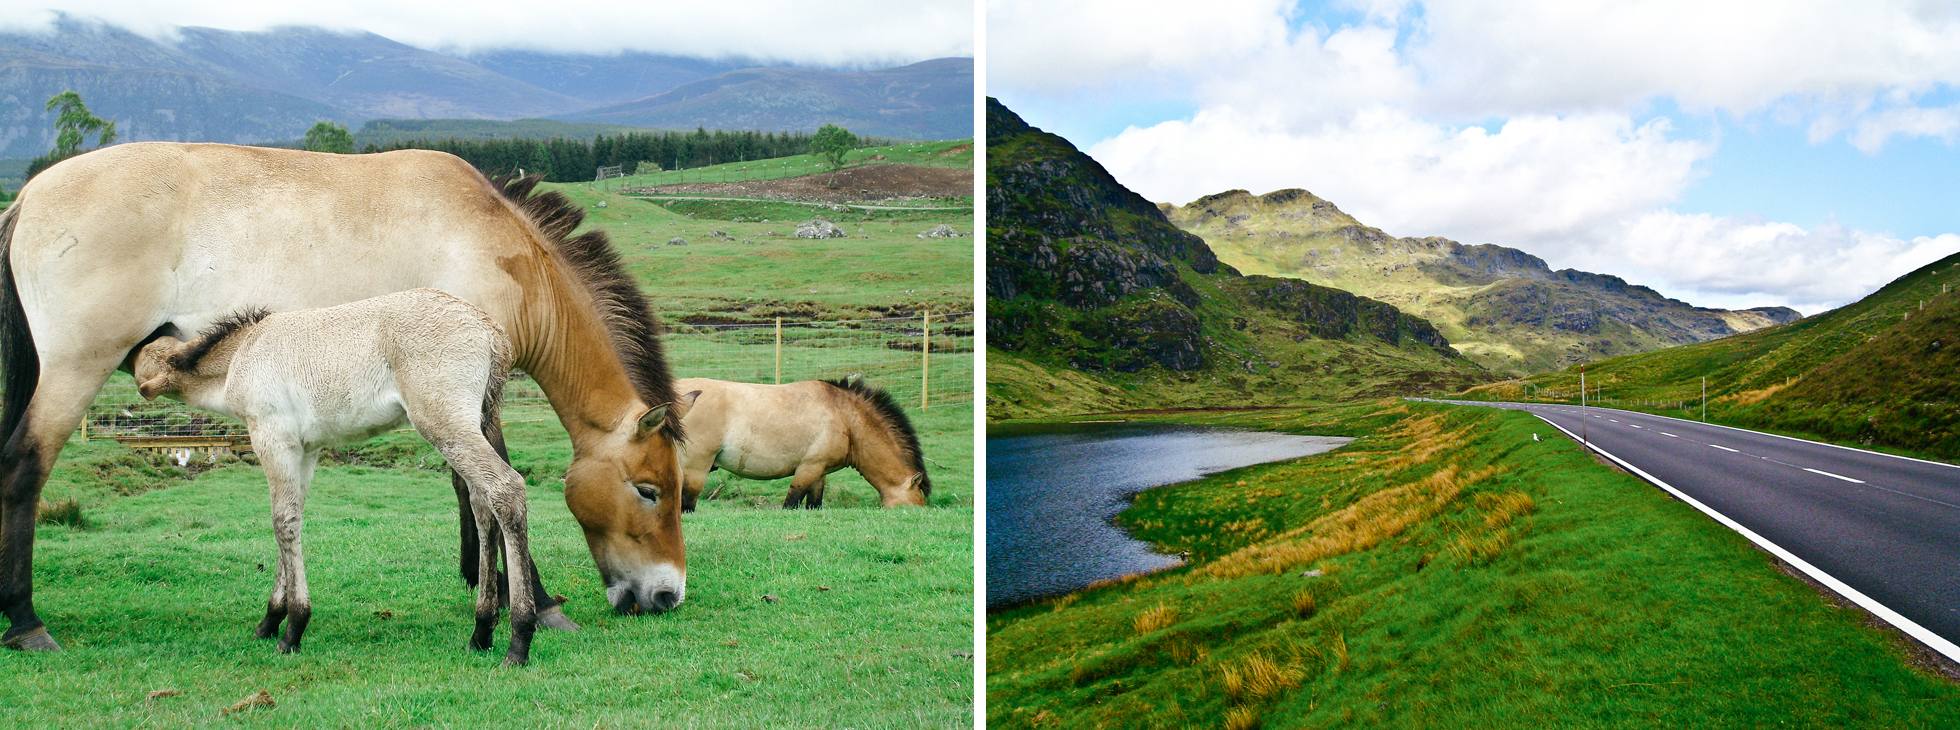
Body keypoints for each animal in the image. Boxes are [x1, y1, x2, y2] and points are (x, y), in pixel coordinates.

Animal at [131, 289, 552, 666]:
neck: (242, 354)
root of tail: (492, 330)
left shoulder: (273, 440)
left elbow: (281, 520)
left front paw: (292, 628)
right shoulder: (306, 450)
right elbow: (293, 520)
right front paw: (271, 618)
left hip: (444, 423)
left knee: (505, 489)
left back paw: (519, 639)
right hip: (475, 422)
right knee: (483, 504)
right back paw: (481, 630)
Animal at [674, 376, 930, 510]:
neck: (846, 417)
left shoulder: (820, 472)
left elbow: (813, 503)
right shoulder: (808, 468)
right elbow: (792, 502)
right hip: (696, 469)